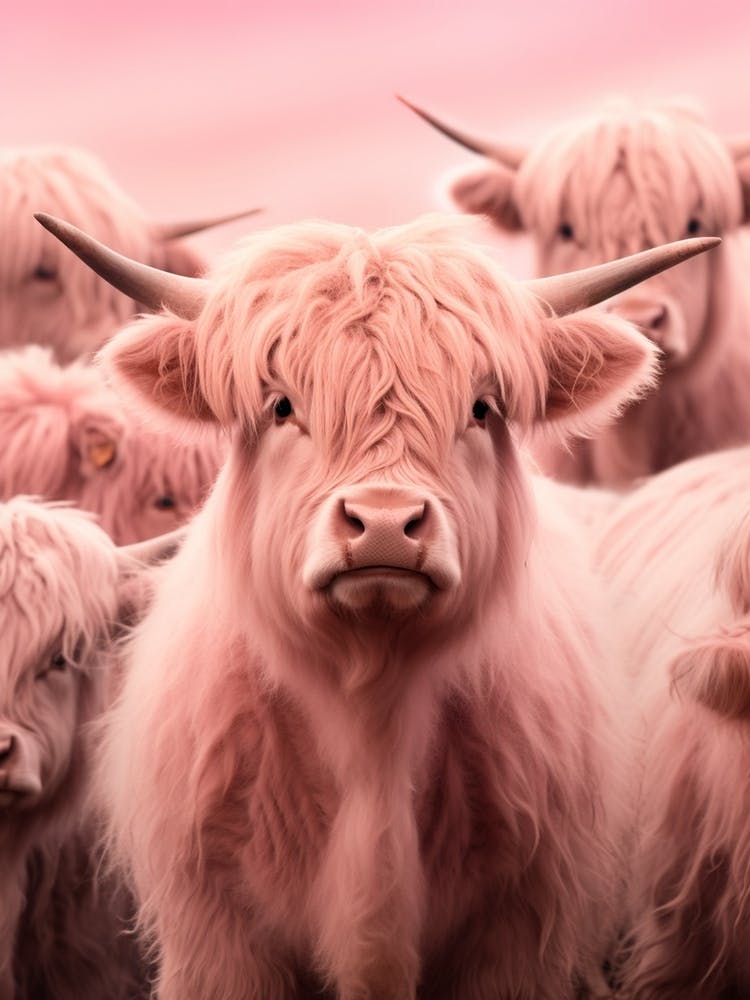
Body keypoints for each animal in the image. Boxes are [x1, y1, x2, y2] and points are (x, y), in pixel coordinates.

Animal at [38, 210, 716, 999]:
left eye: (481, 407)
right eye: (282, 405)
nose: (386, 522)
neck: (372, 715)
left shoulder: (520, 930)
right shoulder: (220, 935)